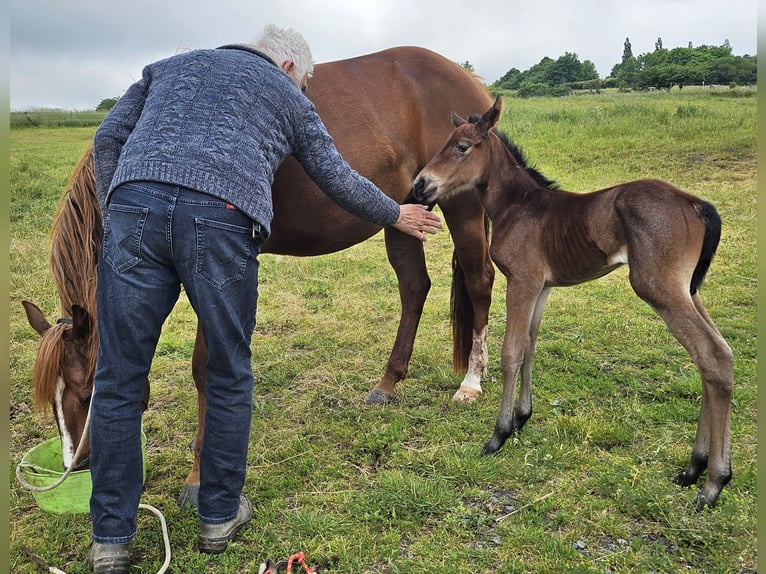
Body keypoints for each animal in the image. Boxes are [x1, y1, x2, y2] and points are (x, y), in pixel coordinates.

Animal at [411, 96, 733, 510]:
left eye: (462, 147)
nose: (421, 185)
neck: (518, 205)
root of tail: (695, 203)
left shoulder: (523, 282)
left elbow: (510, 353)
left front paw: (498, 435)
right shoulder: (543, 287)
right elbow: (530, 346)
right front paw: (522, 418)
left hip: (660, 289)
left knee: (711, 357)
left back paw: (713, 483)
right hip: (689, 290)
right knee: (717, 358)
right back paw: (694, 469)